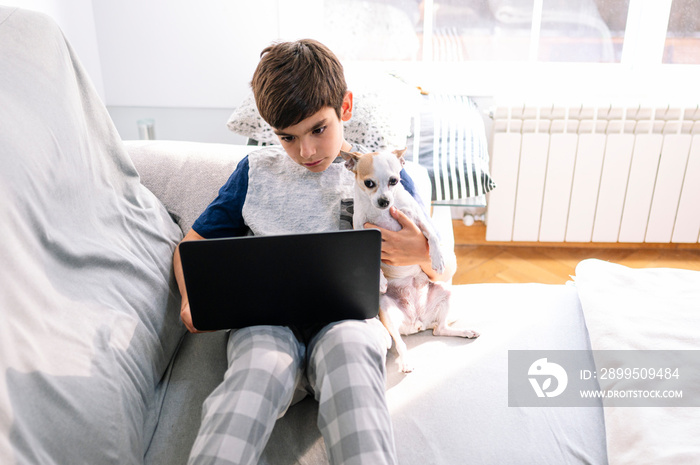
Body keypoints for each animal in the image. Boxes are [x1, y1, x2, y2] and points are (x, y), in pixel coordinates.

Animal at [340, 150, 482, 374]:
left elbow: (431, 236)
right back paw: (406, 361)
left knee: (440, 329)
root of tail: (419, 322)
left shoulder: (418, 219)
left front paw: (437, 258)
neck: (383, 212)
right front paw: (381, 280)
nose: (384, 201)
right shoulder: (362, 229)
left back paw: (464, 331)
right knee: (402, 344)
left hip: (445, 292)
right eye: (369, 183)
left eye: (394, 181)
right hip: (387, 312)